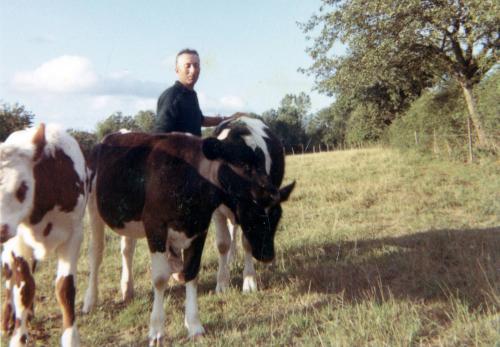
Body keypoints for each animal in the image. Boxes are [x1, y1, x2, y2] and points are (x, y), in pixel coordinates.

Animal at [0, 124, 88, 347]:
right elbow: (24, 287)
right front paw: (18, 337)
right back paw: (7, 321)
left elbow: (65, 287)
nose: (0, 230)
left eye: (22, 187)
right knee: (9, 278)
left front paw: (70, 338)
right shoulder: (17, 241)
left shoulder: (74, 235)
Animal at [210, 117, 294, 294]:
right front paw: (222, 282)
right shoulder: (218, 211)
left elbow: (247, 242)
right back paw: (232, 257)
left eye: (277, 219)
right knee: (232, 230)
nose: (267, 255)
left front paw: (249, 281)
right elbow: (222, 244)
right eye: (242, 164)